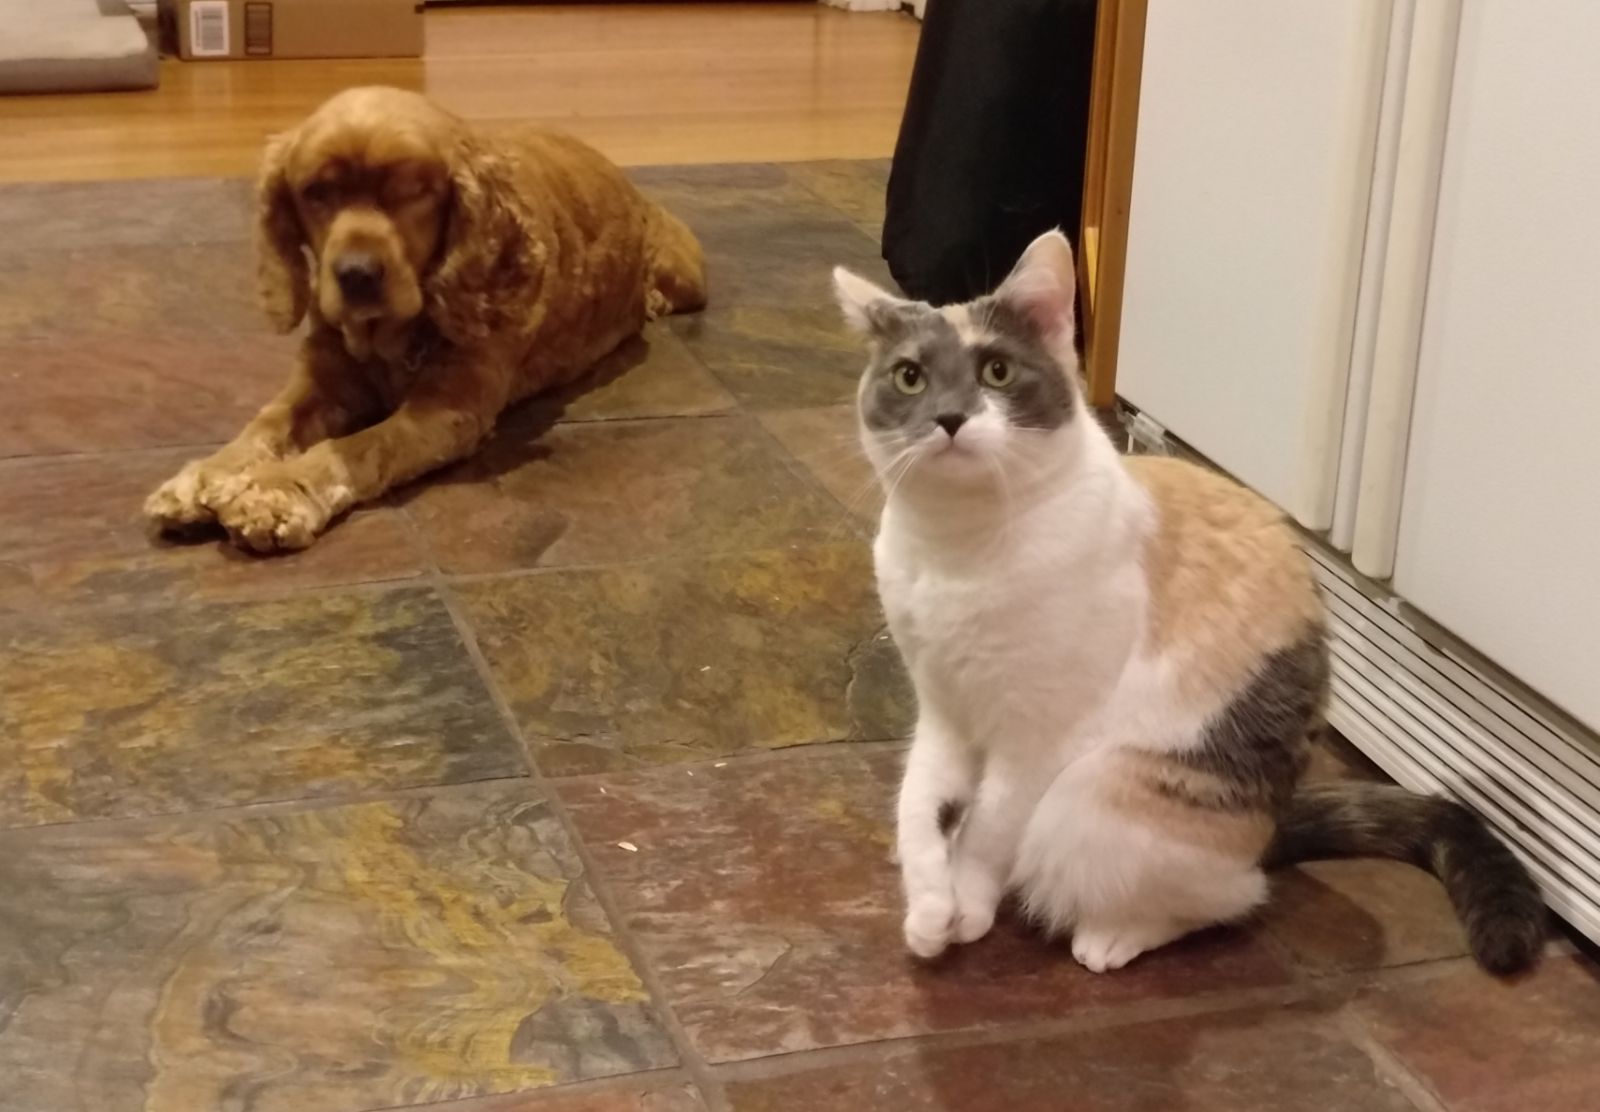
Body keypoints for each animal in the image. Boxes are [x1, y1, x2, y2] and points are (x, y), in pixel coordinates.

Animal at [144, 87, 707, 553]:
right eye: (316, 193)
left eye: (413, 191)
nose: (356, 274)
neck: (390, 338)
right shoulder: (322, 380)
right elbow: (267, 422)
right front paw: (203, 478)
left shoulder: (447, 410)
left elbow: (360, 445)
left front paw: (279, 491)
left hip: (685, 273)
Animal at [832, 230, 1542, 972]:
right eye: (910, 377)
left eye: (996, 371)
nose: (948, 417)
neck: (958, 549)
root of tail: (1271, 826)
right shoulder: (942, 708)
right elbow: (918, 806)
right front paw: (928, 906)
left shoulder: (1036, 735)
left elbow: (991, 829)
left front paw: (966, 905)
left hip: (1099, 795)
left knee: (1228, 898)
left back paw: (1111, 936)